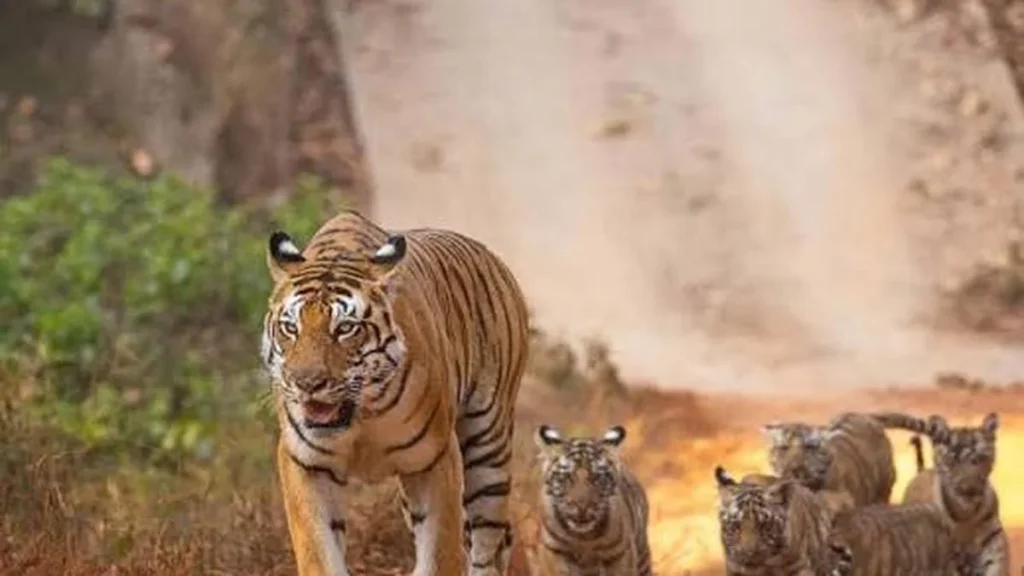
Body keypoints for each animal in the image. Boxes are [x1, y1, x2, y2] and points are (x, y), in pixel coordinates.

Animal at [261, 210, 530, 576]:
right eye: (290, 328)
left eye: (345, 329)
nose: (306, 383)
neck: (361, 417)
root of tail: (491, 257)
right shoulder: (305, 462)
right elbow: (319, 554)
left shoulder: (435, 458)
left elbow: (440, 555)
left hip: (489, 446)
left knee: (487, 545)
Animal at [534, 425, 652, 576]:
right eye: (567, 478)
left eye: (596, 478)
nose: (582, 506)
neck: (585, 539)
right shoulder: (555, 551)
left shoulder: (620, 555)